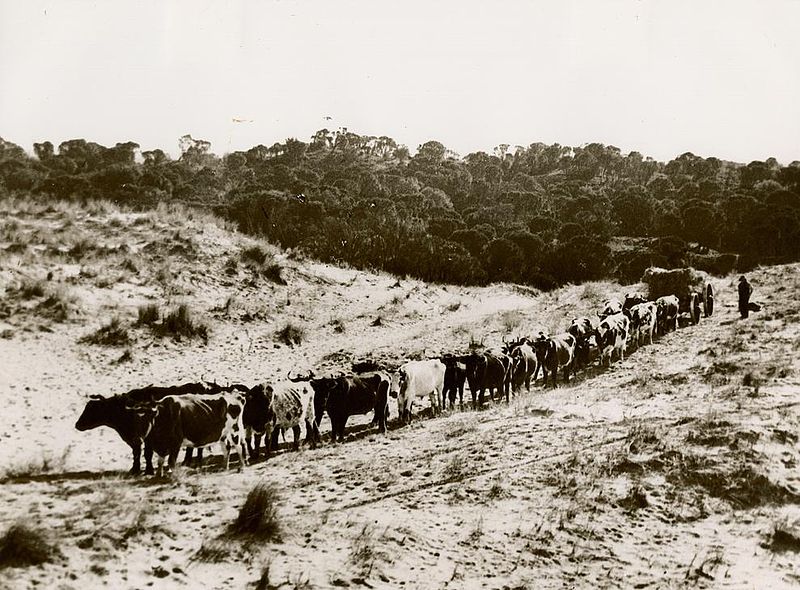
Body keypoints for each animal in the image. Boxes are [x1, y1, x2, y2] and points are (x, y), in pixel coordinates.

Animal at [75, 384, 225, 476]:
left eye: (92, 409)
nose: (77, 425)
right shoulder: (136, 438)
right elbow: (136, 453)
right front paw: (135, 469)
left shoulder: (145, 438)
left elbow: (147, 454)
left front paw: (148, 470)